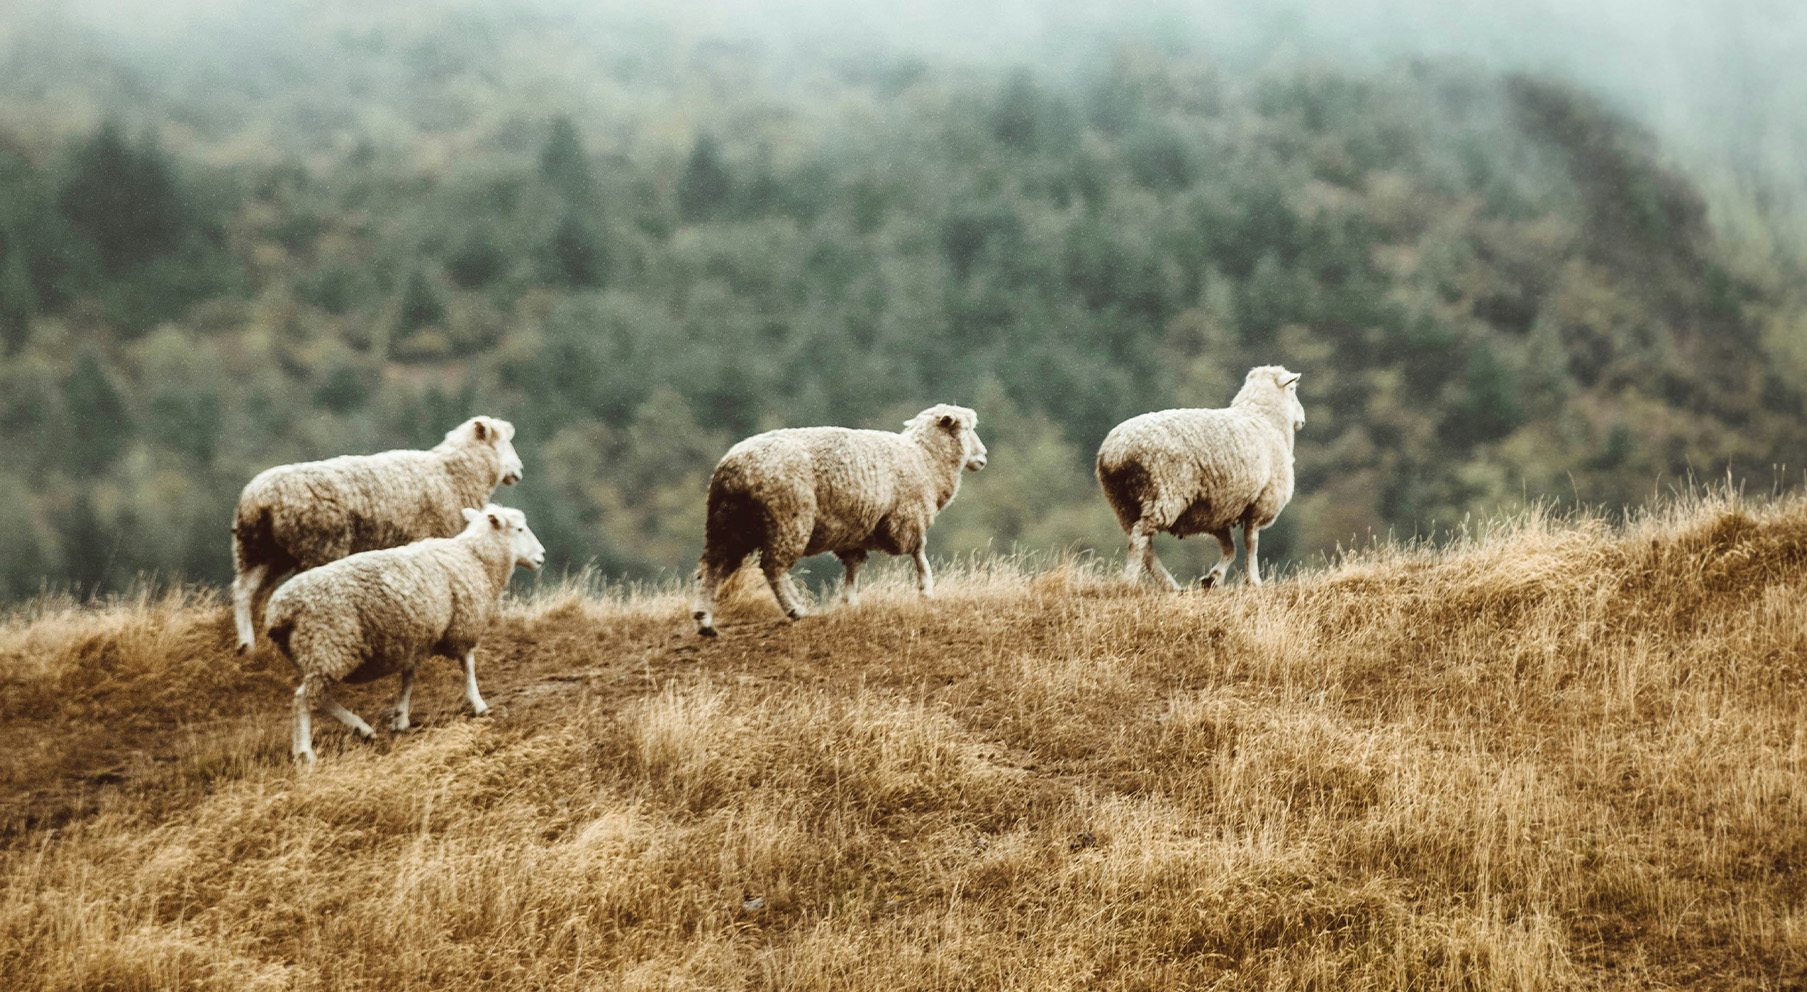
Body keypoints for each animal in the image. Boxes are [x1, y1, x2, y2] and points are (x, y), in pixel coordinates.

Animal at [231, 416, 525, 653]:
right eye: (504, 443)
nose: (519, 471)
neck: (452, 474)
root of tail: (258, 499)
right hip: (317, 546)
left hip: (258, 550)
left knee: (244, 591)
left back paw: (247, 645)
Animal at [265, 503, 545, 764]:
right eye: (520, 529)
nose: (542, 555)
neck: (475, 557)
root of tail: (280, 611)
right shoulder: (463, 624)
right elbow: (468, 665)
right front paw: (478, 703)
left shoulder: (418, 638)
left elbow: (409, 678)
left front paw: (400, 718)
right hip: (328, 646)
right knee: (303, 700)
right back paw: (305, 752)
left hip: (314, 654)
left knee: (321, 698)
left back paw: (362, 729)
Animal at [690, 404, 988, 636]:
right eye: (967, 429)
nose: (983, 456)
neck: (925, 459)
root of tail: (733, 469)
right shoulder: (908, 517)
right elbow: (919, 552)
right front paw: (926, 589)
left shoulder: (856, 532)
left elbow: (853, 566)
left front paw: (849, 601)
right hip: (787, 519)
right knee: (773, 567)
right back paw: (795, 609)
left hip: (726, 525)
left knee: (712, 566)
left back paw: (704, 620)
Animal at [1096, 366, 1305, 591]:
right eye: (1292, 389)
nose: (1302, 419)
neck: (1265, 420)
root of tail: (1116, 452)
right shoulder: (1261, 502)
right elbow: (1251, 543)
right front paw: (1254, 580)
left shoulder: (1220, 511)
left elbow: (1230, 548)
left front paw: (1213, 578)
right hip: (1164, 493)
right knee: (1139, 538)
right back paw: (1129, 582)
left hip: (1121, 502)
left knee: (1145, 546)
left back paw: (1171, 586)